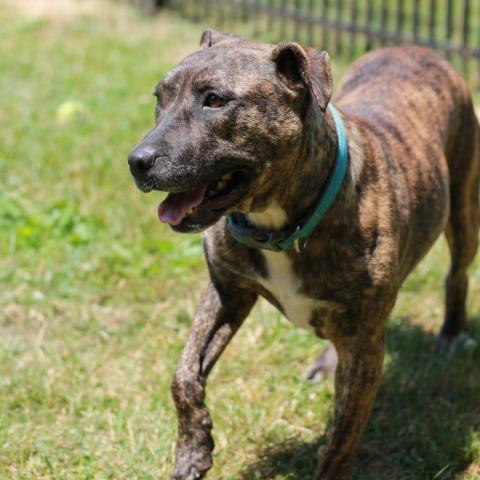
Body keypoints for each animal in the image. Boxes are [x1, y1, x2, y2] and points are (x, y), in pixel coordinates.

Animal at [127, 30, 480, 480]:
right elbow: (184, 372)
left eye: (216, 101)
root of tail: (416, 48)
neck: (281, 226)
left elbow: (342, 438)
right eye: (159, 97)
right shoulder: (227, 292)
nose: (137, 162)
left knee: (457, 274)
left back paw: (452, 332)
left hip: (463, 211)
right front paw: (193, 449)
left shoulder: (365, 347)